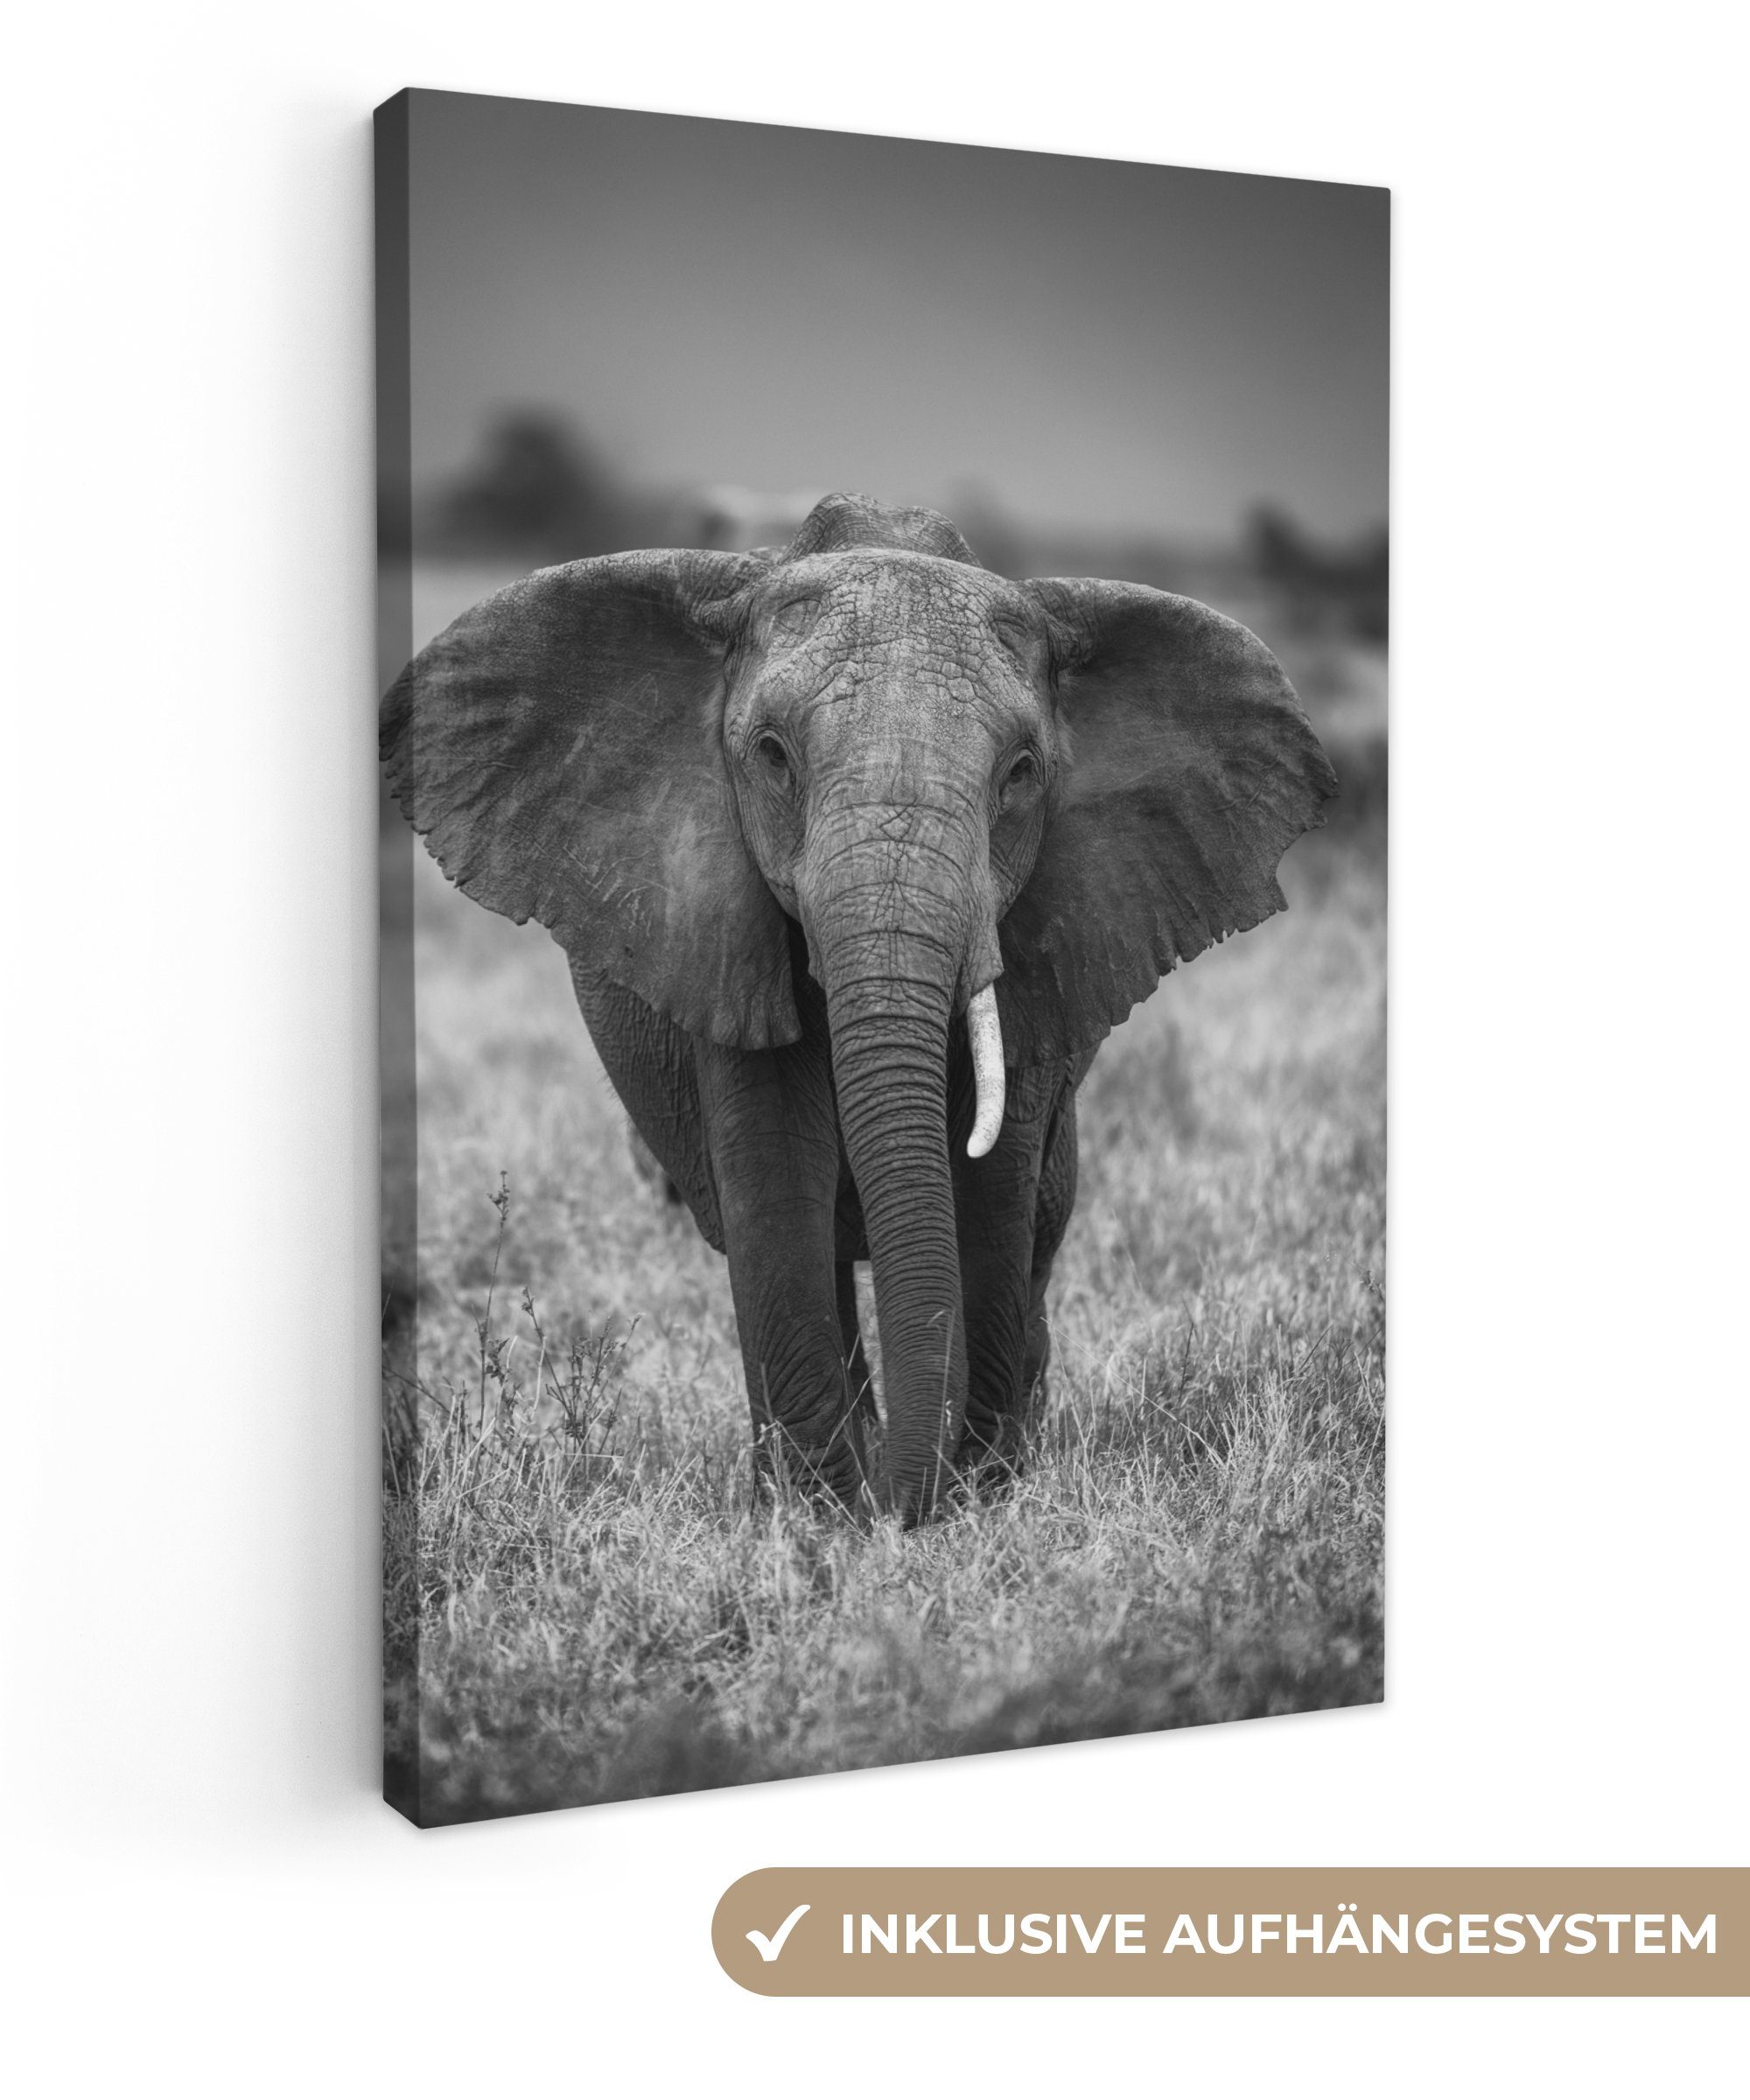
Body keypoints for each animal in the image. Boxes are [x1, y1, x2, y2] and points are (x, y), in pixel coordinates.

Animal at [381, 492, 1337, 1525]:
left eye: (1021, 773)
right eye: (771, 757)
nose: (908, 1507)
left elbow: (992, 1194)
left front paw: (974, 1501)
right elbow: (774, 1179)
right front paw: (821, 1522)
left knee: (1041, 1227)